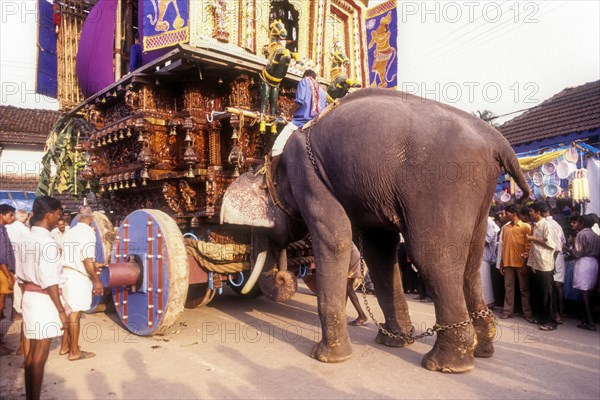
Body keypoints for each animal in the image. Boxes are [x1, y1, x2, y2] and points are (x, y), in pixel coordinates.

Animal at [220, 87, 528, 372]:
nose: (282, 276)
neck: (275, 160)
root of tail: (496, 140)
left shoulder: (308, 176)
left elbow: (336, 239)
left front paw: (327, 357)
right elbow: (378, 249)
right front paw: (394, 342)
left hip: (445, 183)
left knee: (432, 257)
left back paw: (444, 364)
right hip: (479, 193)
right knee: (471, 263)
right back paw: (482, 348)